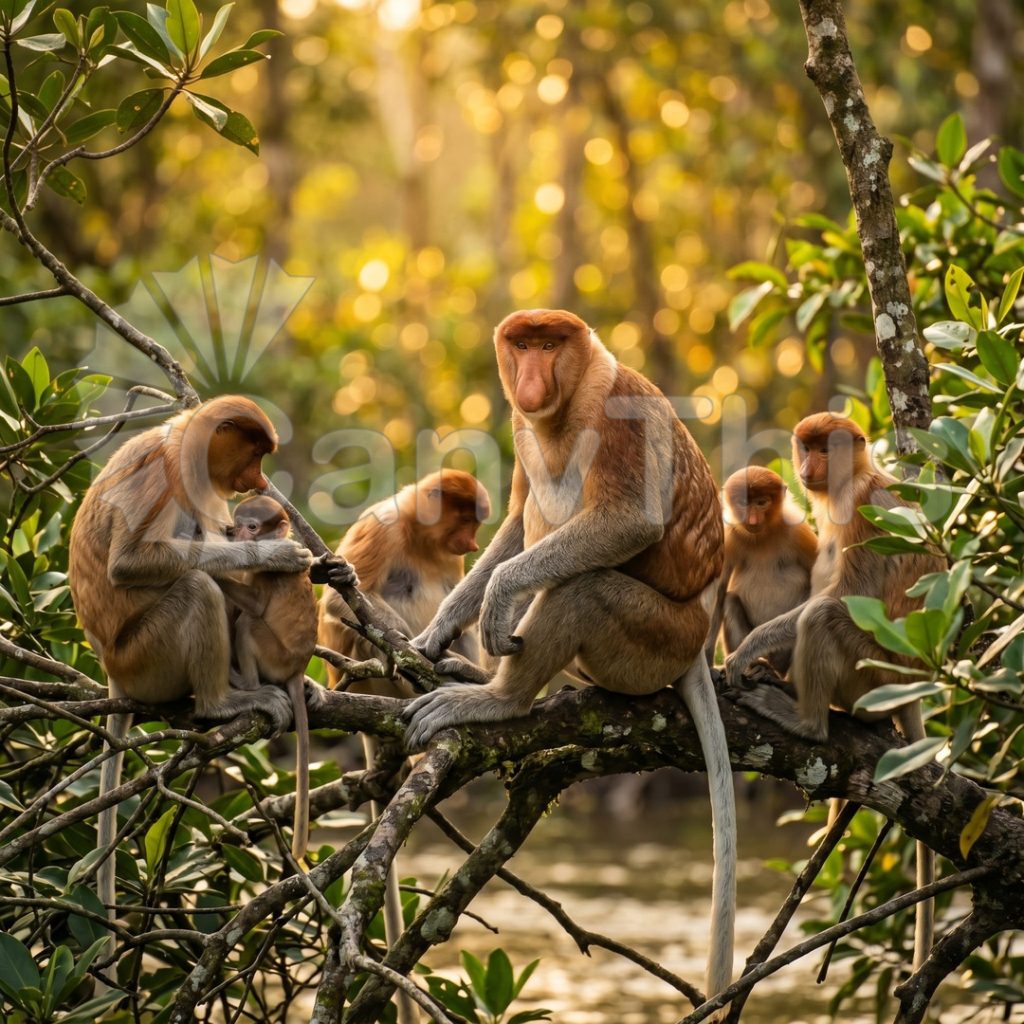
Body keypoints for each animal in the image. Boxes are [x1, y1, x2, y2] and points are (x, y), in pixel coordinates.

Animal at [226, 495, 321, 862]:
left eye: (251, 527)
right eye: (236, 522)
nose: (231, 533)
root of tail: (296, 668)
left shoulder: (267, 571)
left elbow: (255, 605)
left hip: (275, 656)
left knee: (248, 623)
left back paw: (247, 686)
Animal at [317, 469, 490, 1024]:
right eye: (464, 520)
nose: (472, 543)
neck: (419, 536)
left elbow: (459, 604)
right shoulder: (382, 529)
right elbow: (340, 603)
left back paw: (462, 677)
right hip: (361, 679)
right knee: (364, 633)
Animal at [401, 309, 737, 1000]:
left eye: (551, 345)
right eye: (522, 345)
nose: (530, 379)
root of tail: (698, 641)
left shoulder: (615, 414)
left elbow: (629, 523)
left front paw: (499, 599)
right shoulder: (521, 429)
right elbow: (511, 518)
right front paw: (441, 630)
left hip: (654, 638)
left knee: (583, 586)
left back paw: (497, 698)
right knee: (537, 509)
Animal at [704, 466, 817, 672]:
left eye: (762, 502)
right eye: (743, 503)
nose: (752, 520)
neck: (764, 534)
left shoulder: (800, 532)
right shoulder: (728, 537)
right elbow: (719, 591)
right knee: (730, 600)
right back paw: (755, 666)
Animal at [725, 413, 945, 970]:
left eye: (826, 449)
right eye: (805, 448)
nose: (807, 467)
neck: (856, 478)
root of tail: (912, 684)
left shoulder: (865, 513)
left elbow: (845, 595)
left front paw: (746, 654)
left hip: (872, 674)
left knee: (824, 616)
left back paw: (805, 719)